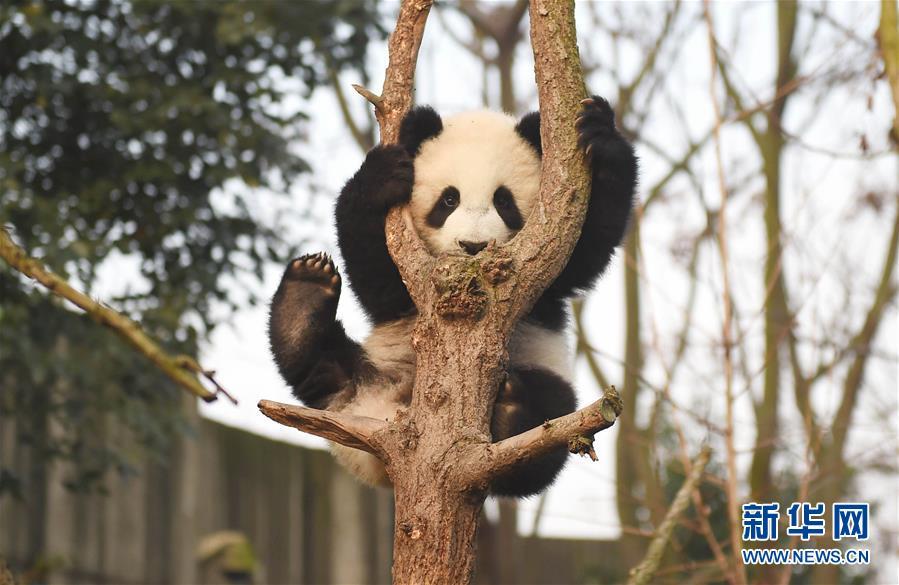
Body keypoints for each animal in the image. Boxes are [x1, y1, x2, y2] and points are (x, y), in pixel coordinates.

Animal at [270, 97, 636, 498]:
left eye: (504, 201)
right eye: (448, 200)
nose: (473, 246)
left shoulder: (546, 274)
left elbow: (586, 248)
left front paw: (600, 133)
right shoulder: (408, 283)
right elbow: (377, 279)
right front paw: (381, 177)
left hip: (545, 375)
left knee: (548, 424)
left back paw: (512, 412)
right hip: (369, 370)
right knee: (321, 370)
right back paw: (303, 298)